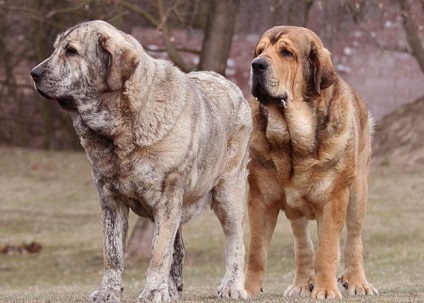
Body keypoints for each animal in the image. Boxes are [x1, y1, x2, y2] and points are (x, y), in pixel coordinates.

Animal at [245, 25, 378, 300]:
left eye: (286, 52)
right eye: (260, 51)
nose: (256, 64)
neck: (293, 141)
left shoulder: (334, 199)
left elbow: (327, 250)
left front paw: (326, 290)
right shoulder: (260, 198)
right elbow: (256, 251)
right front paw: (246, 290)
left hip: (358, 193)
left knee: (354, 239)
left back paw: (357, 282)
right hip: (296, 210)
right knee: (303, 244)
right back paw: (300, 284)